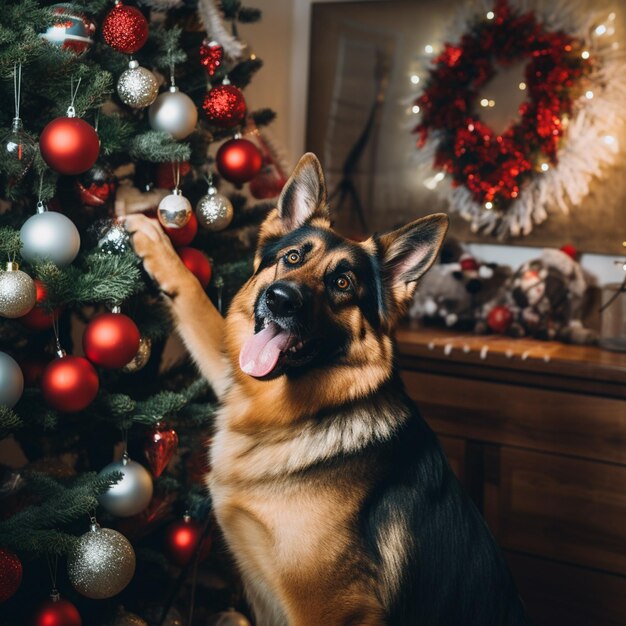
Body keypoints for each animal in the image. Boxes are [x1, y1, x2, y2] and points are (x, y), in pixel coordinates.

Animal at [124, 152, 528, 624]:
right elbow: (195, 299)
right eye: (292, 257)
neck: (295, 414)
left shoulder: (331, 609)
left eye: (343, 284)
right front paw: (154, 237)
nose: (280, 299)